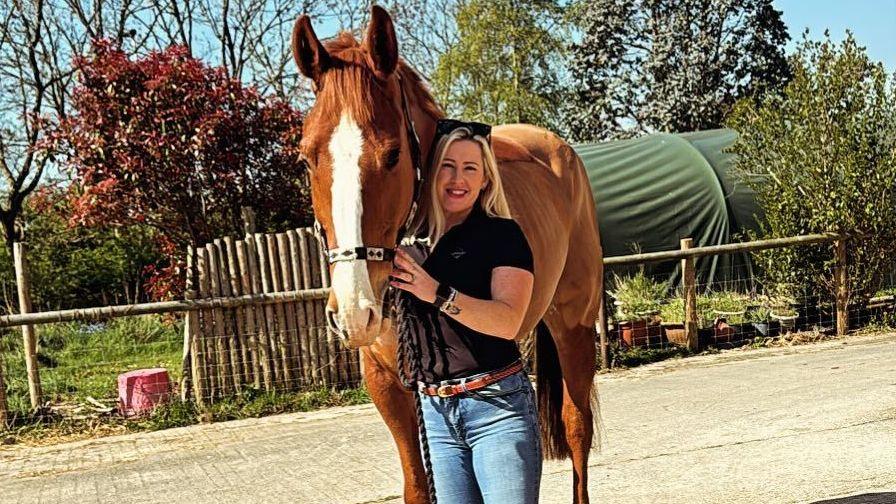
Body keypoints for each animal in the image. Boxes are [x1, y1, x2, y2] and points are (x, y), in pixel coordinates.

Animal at [291, 6, 605, 503]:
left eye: (393, 154)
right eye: (305, 158)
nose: (356, 313)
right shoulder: (387, 382)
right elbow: (418, 483)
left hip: (573, 324)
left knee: (577, 429)